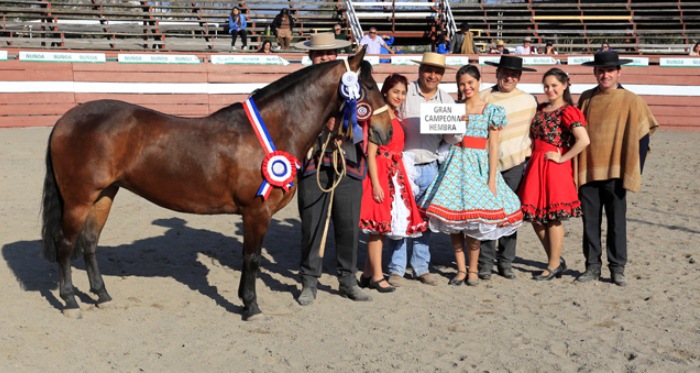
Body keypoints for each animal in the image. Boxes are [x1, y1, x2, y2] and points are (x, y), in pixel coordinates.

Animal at [41, 48, 394, 318]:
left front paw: (245, 301)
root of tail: (65, 120)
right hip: (78, 200)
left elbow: (248, 258)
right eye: (366, 86)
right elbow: (252, 258)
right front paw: (251, 307)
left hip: (104, 195)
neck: (274, 129)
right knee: (66, 244)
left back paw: (101, 295)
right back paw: (70, 301)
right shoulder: (256, 213)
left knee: (89, 243)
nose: (386, 131)